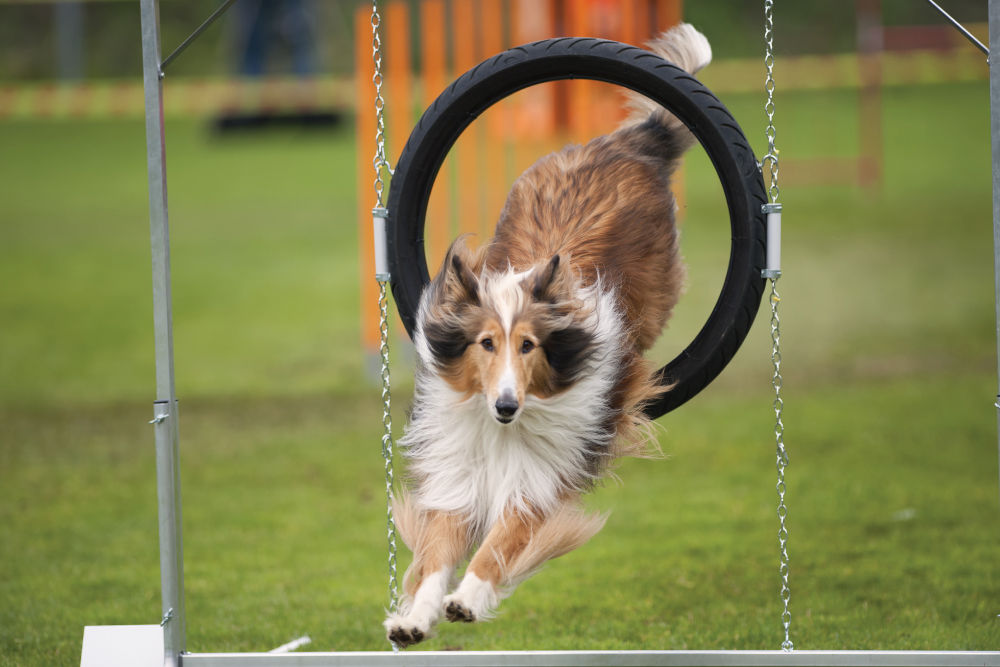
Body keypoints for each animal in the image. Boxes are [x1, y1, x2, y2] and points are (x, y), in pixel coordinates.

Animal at [382, 24, 712, 648]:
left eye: (529, 346)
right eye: (485, 344)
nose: (506, 406)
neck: (503, 431)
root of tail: (627, 145)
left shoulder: (540, 476)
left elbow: (503, 541)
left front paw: (469, 598)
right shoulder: (458, 473)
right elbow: (436, 550)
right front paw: (415, 616)